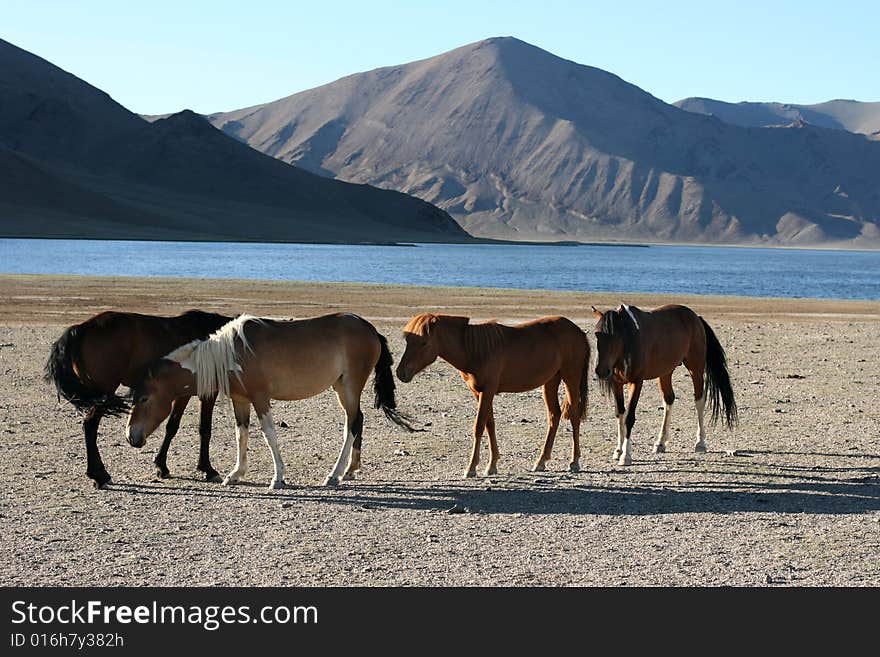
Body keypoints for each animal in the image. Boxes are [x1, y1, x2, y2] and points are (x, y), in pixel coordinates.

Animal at [45, 308, 232, 486]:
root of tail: (79, 329)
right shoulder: (207, 393)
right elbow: (205, 429)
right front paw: (208, 469)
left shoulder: (182, 394)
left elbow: (172, 426)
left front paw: (161, 466)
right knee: (90, 426)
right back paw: (99, 475)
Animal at [124, 312, 416, 486]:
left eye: (145, 398)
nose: (131, 437)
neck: (230, 354)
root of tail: (370, 330)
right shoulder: (241, 400)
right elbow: (241, 434)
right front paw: (235, 473)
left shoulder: (260, 397)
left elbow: (268, 433)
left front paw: (278, 477)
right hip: (341, 388)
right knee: (358, 421)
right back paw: (350, 469)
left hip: (351, 386)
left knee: (352, 424)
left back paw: (334, 475)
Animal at [396, 312, 588, 476]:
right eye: (408, 341)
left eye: (424, 342)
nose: (400, 373)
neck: (474, 349)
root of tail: (577, 331)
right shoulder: (479, 393)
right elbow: (490, 425)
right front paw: (492, 465)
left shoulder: (488, 391)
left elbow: (479, 426)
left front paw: (471, 468)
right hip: (550, 382)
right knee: (554, 415)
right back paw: (541, 461)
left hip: (571, 378)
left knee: (574, 415)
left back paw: (574, 462)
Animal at [592, 304, 736, 466]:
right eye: (596, 335)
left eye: (616, 336)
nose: (601, 371)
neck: (630, 340)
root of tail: (695, 318)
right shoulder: (616, 383)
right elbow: (620, 413)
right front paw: (618, 450)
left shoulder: (636, 382)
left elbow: (629, 417)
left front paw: (626, 455)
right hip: (665, 372)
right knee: (669, 399)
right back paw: (660, 443)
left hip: (696, 368)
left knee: (699, 400)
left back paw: (700, 443)